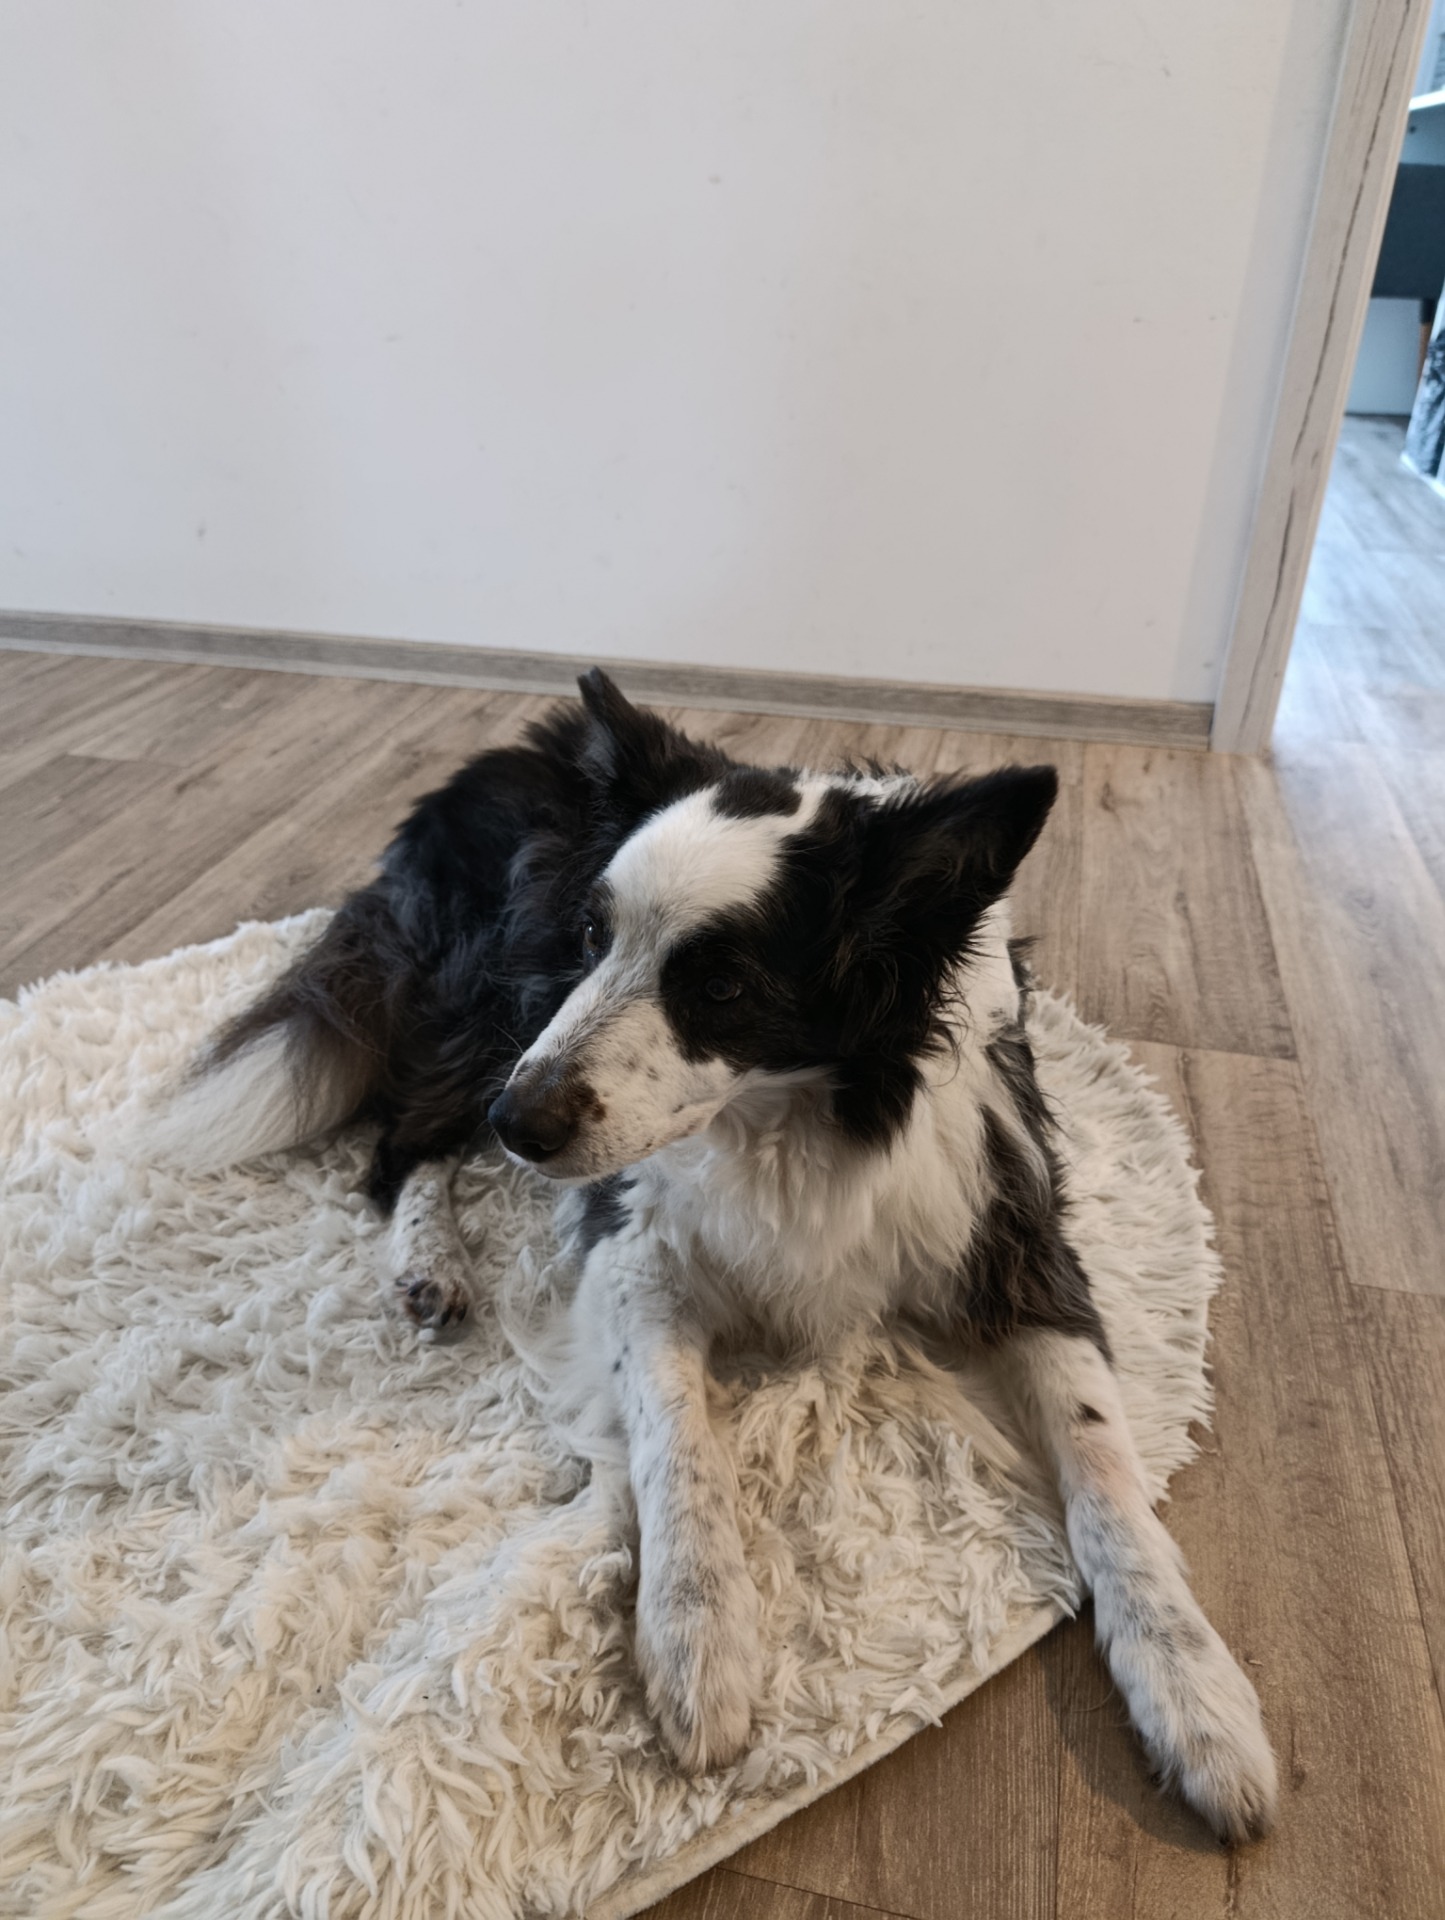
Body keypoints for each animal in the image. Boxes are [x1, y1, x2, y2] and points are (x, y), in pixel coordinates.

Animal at [144, 668, 1277, 1841]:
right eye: (590, 935)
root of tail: (496, 756)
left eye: (723, 986)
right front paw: (696, 1638)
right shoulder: (632, 1249)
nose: (520, 1126)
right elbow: (677, 1438)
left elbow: (1103, 1468)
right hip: (488, 999)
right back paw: (430, 1257)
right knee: (403, 1136)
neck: (793, 1120)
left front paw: (1194, 1694)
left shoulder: (1014, 1237)